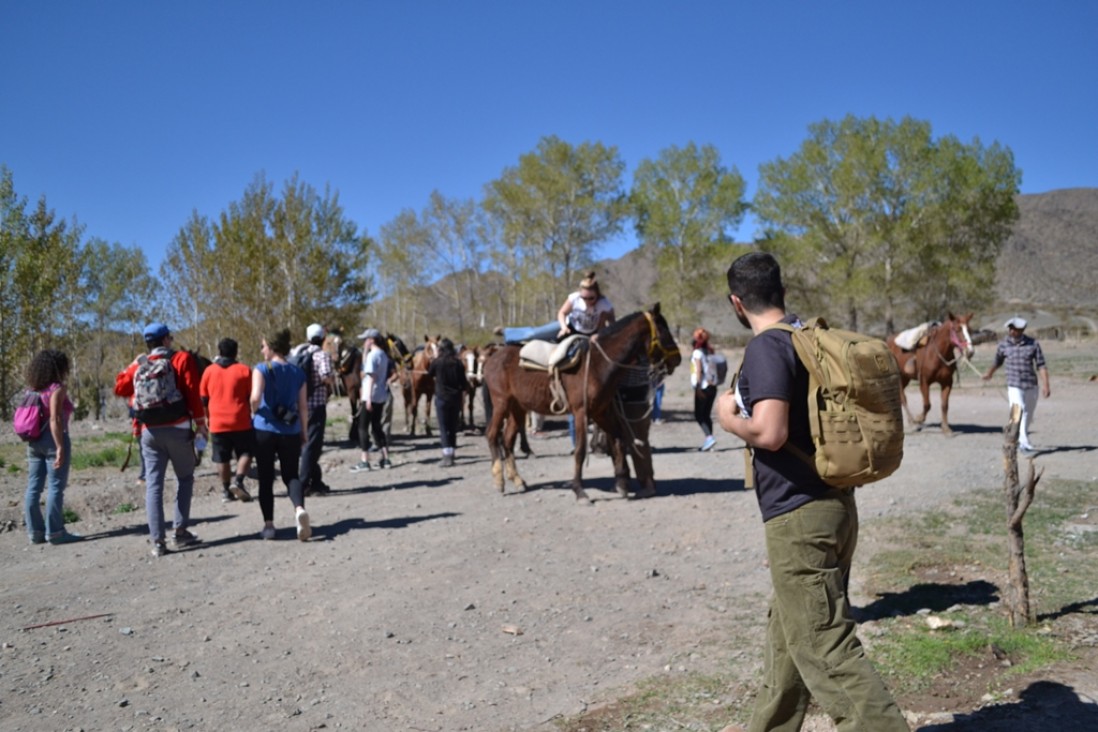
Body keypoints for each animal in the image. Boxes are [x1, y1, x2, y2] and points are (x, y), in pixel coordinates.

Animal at [485, 305, 680, 504]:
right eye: (664, 331)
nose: (677, 359)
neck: (597, 365)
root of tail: (493, 356)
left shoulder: (601, 412)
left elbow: (618, 441)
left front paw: (622, 483)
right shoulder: (581, 413)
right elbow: (580, 450)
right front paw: (580, 491)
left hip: (517, 408)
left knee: (507, 441)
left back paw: (517, 480)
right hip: (501, 404)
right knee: (492, 435)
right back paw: (498, 480)